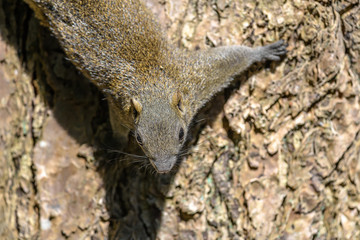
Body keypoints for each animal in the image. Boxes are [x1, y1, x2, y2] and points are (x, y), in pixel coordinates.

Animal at [23, 0, 286, 172]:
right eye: (139, 139)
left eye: (181, 134)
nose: (163, 169)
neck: (153, 85)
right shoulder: (120, 106)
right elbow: (117, 128)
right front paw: (114, 146)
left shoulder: (194, 80)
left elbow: (231, 59)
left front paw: (263, 51)